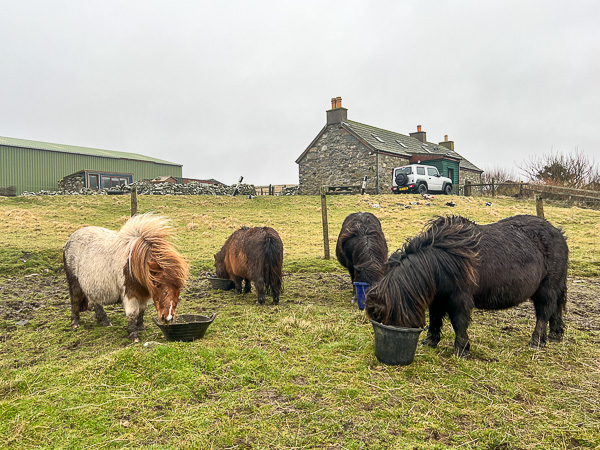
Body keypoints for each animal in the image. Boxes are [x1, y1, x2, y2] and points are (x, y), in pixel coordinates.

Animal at [64, 214, 189, 342]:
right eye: (157, 285)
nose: (167, 318)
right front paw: (134, 335)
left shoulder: (144, 294)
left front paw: (141, 327)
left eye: (179, 288)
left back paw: (104, 321)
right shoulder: (130, 293)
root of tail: (71, 238)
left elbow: (142, 310)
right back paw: (75, 323)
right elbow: (133, 313)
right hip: (75, 283)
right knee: (75, 300)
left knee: (96, 302)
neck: (134, 264)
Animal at [366, 214, 568, 358]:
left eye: (381, 318)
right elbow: (435, 318)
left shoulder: (459, 299)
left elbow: (459, 322)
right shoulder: (438, 298)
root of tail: (558, 233)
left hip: (546, 289)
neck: (440, 262)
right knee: (555, 310)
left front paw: (461, 351)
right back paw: (554, 336)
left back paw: (536, 342)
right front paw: (430, 342)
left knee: (544, 312)